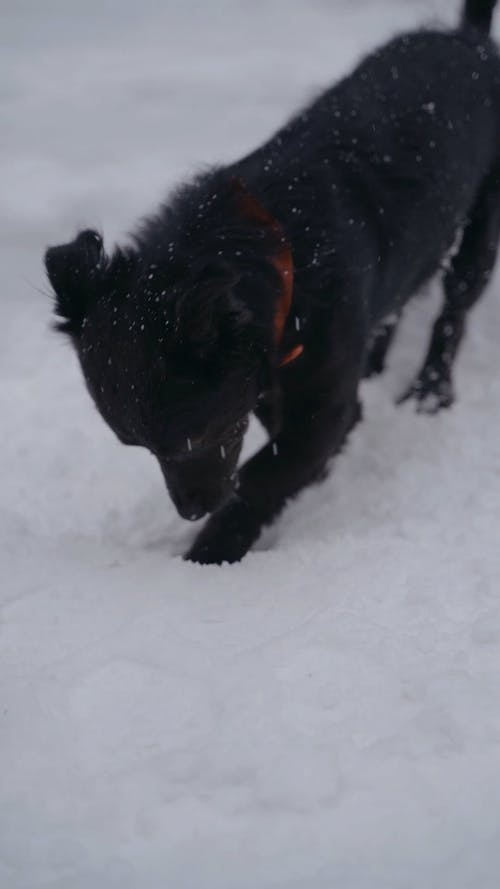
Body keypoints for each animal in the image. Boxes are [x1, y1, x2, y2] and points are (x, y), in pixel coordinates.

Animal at [46, 1, 500, 560]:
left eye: (199, 435)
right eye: (139, 447)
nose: (191, 511)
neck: (289, 260)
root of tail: (469, 39)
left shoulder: (321, 409)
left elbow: (266, 477)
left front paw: (210, 554)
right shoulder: (266, 386)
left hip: (478, 235)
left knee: (452, 314)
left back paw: (429, 392)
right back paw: (376, 365)